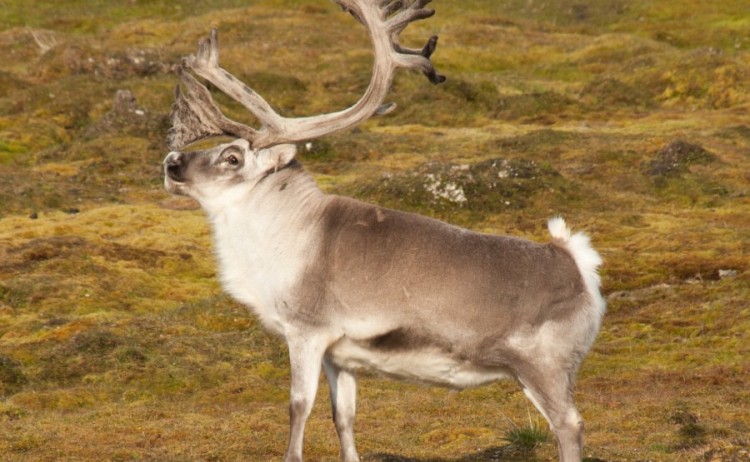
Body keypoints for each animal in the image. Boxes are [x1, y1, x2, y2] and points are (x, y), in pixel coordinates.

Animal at [162, 1, 605, 461]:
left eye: (232, 157)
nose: (172, 162)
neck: (285, 237)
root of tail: (577, 263)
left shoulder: (305, 330)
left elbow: (298, 408)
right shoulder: (340, 355)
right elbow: (343, 417)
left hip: (543, 366)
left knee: (569, 424)